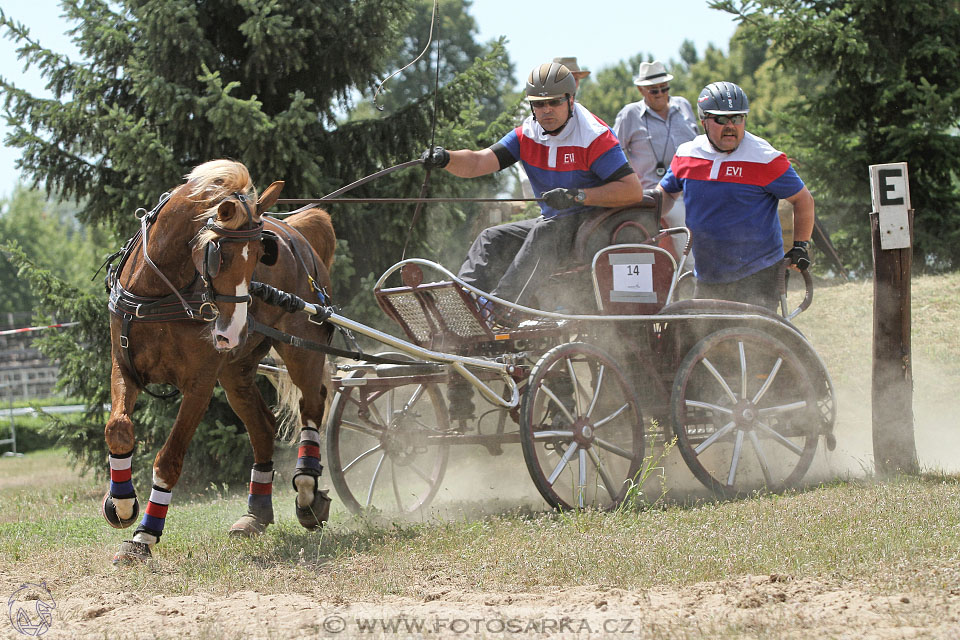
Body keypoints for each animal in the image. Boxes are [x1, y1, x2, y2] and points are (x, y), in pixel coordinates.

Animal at [103, 159, 336, 560]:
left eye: (260, 255)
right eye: (217, 255)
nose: (233, 330)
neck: (161, 290)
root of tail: (299, 233)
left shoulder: (199, 383)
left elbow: (169, 460)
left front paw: (145, 537)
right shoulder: (125, 366)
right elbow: (118, 429)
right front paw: (120, 504)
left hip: (301, 349)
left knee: (311, 406)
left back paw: (308, 490)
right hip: (236, 371)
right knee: (262, 426)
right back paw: (255, 514)